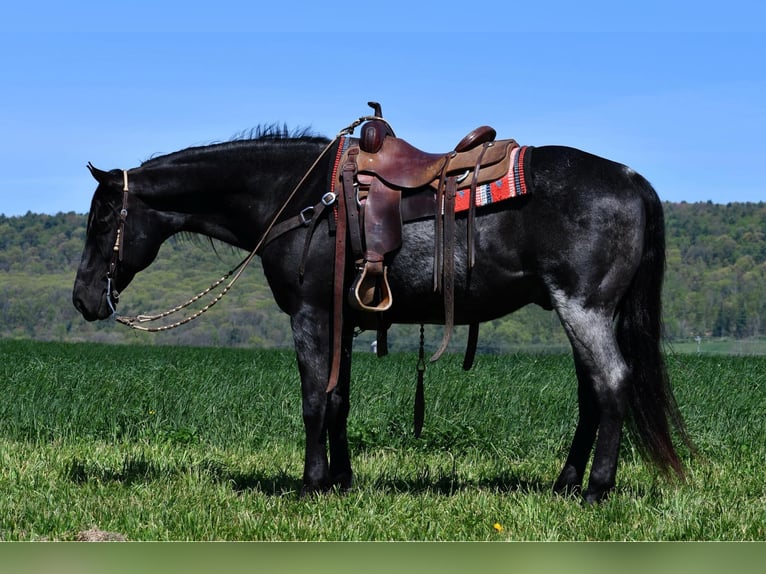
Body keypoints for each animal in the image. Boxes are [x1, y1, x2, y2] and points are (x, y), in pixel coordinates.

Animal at [75, 121, 692, 504]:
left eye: (103, 218)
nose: (83, 299)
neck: (300, 197)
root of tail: (630, 180)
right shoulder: (342, 320)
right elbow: (338, 401)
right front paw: (341, 481)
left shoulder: (310, 315)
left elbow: (313, 402)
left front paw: (310, 485)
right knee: (592, 393)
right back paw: (566, 484)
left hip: (584, 308)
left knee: (611, 384)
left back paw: (595, 490)